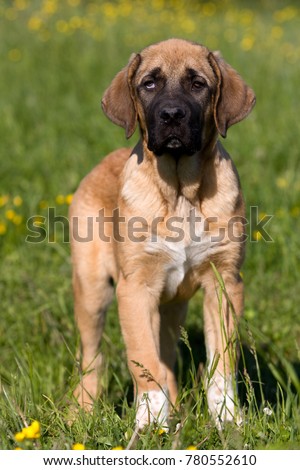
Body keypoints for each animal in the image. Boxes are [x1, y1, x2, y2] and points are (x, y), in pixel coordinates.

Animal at [69, 38, 255, 432]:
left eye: (198, 84)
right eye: (149, 84)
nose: (171, 116)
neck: (181, 193)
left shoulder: (224, 283)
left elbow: (222, 362)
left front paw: (227, 419)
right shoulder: (135, 289)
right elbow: (143, 361)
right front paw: (149, 423)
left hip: (172, 306)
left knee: (167, 358)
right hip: (92, 289)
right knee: (92, 358)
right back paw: (82, 411)